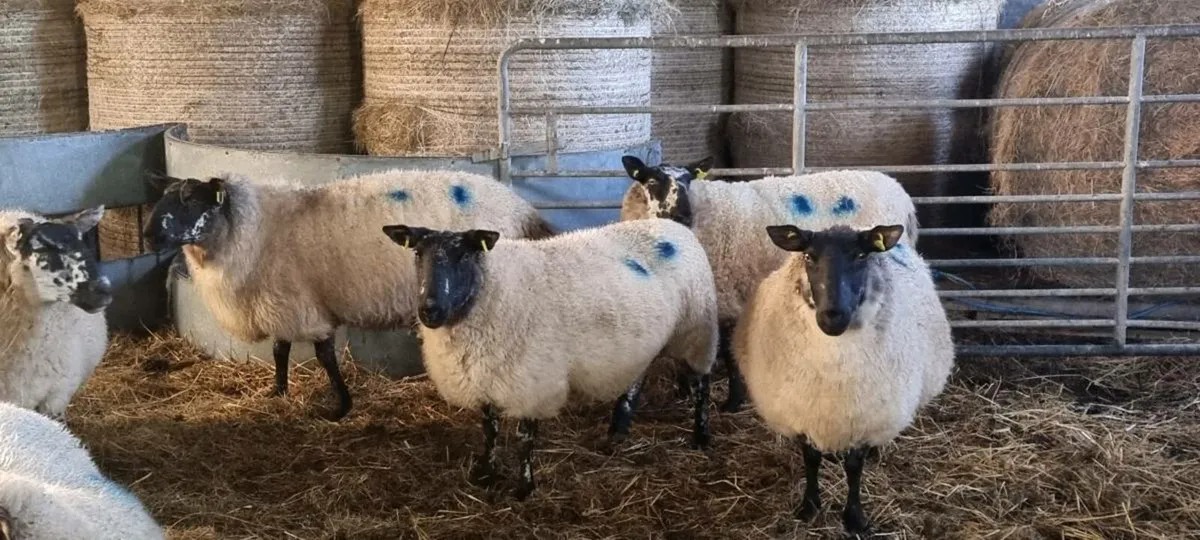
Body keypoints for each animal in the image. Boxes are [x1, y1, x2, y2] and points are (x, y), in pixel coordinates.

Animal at [142, 170, 553, 420]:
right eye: (167, 197)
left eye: (191, 200)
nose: (148, 235)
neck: (251, 230)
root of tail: (523, 209)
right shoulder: (282, 303)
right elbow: (280, 350)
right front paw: (278, 391)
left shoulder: (302, 306)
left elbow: (324, 356)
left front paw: (340, 405)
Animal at [382, 218, 718, 500]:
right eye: (417, 254)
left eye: (464, 256)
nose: (430, 310)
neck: (491, 289)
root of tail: (673, 224)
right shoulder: (484, 377)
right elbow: (489, 431)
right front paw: (486, 474)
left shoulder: (534, 380)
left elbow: (524, 439)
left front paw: (524, 487)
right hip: (644, 340)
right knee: (638, 378)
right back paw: (618, 430)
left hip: (696, 332)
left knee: (702, 384)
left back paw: (701, 436)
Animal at [619, 156, 920, 412]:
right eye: (652, 181)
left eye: (688, 181)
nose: (682, 215)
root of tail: (903, 196)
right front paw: (684, 388)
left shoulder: (725, 295)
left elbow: (728, 351)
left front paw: (733, 401)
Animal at [732, 222, 953, 536]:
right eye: (808, 256)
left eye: (861, 255)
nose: (832, 317)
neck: (833, 371)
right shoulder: (804, 414)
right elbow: (811, 460)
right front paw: (809, 507)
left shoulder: (863, 418)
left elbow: (853, 467)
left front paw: (854, 518)